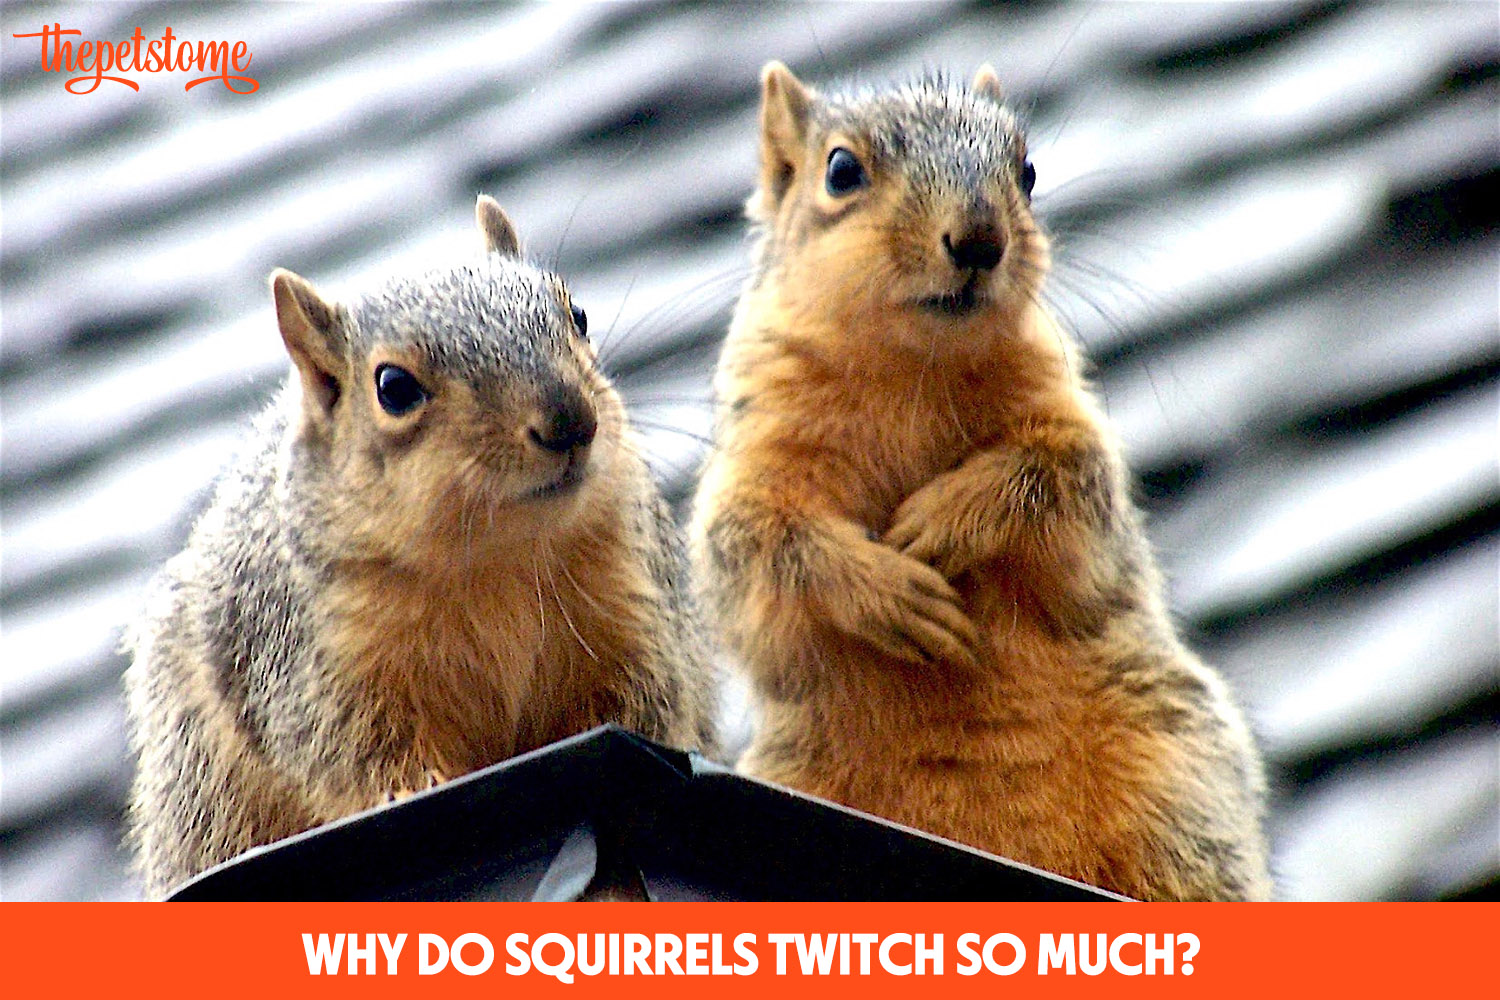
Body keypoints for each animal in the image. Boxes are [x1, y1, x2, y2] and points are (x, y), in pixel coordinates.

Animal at [123, 195, 718, 899]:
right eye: (394, 388)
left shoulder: (632, 599)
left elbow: (642, 701)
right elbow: (352, 751)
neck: (495, 559)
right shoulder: (313, 664)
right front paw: (413, 787)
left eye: (576, 315)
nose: (572, 421)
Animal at [688, 63, 1271, 901]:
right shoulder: (754, 462)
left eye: (1026, 171)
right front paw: (890, 593)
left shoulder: (1068, 430)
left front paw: (947, 520)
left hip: (1180, 787)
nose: (979, 239)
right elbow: (764, 548)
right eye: (841, 171)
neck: (911, 368)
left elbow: (1062, 484)